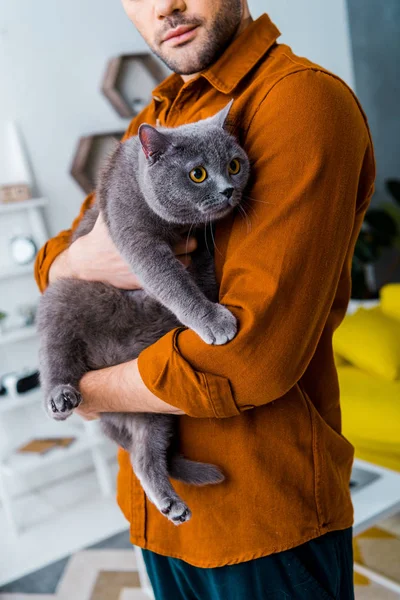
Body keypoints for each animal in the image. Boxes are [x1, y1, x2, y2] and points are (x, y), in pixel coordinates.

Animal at [36, 103, 250, 524]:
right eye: (198, 174)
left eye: (234, 165)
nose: (228, 189)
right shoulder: (135, 236)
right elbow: (172, 281)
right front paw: (213, 321)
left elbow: (197, 271)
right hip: (60, 298)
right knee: (54, 357)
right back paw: (60, 397)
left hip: (150, 400)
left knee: (143, 455)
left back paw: (171, 504)